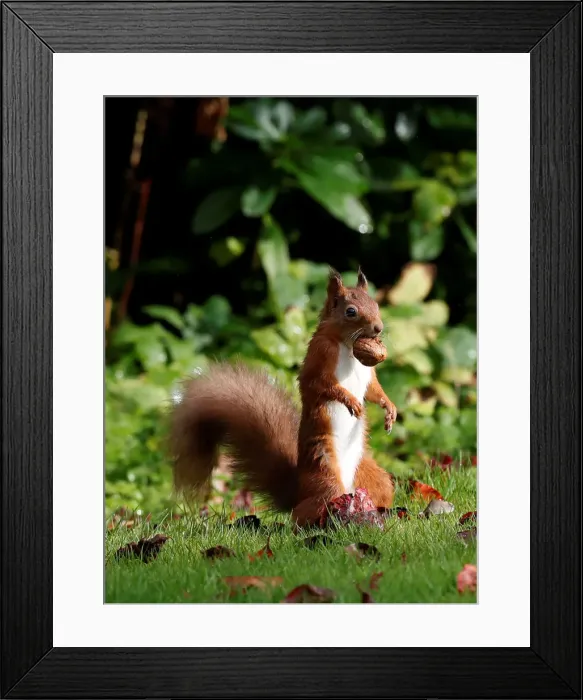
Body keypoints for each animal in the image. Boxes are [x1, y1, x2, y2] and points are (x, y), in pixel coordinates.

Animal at [170, 267, 397, 526]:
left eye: (376, 304)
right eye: (351, 311)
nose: (378, 328)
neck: (349, 346)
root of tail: (298, 491)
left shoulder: (368, 374)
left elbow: (374, 391)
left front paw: (390, 409)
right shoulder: (320, 356)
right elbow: (319, 384)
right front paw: (350, 401)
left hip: (371, 475)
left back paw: (380, 513)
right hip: (326, 475)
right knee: (306, 512)